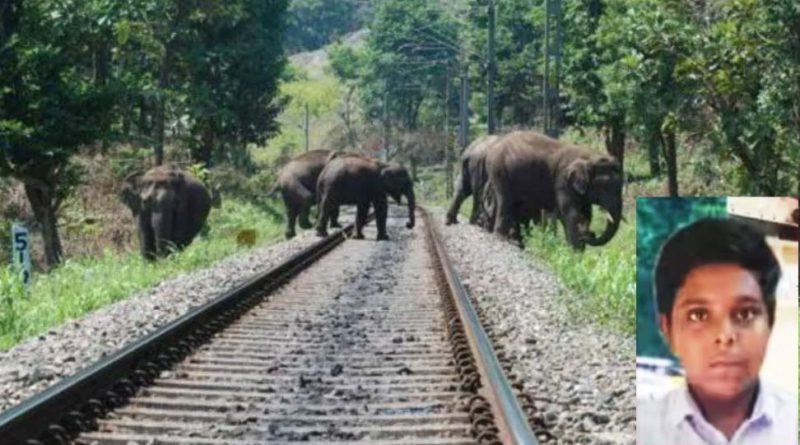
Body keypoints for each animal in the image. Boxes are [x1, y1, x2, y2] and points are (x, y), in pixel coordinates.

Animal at [482, 130, 624, 251]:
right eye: (604, 187)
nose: (591, 233)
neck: (591, 156)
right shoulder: (563, 182)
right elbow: (571, 213)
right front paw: (576, 254)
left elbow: (586, 214)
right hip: (499, 170)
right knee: (505, 200)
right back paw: (501, 238)